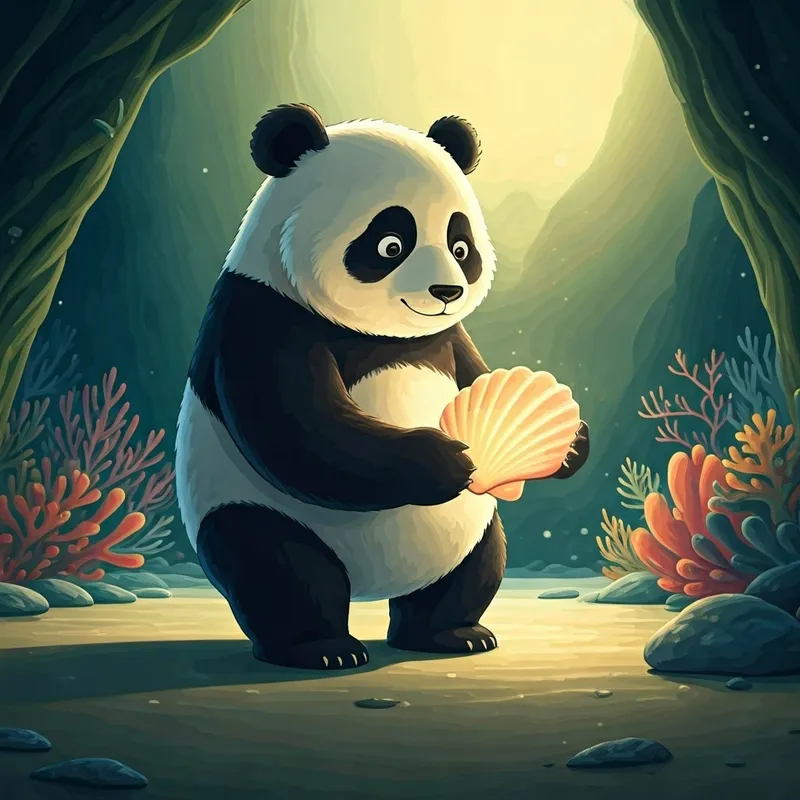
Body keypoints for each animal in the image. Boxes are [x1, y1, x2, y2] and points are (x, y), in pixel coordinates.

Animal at [176, 104, 589, 671]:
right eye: (390, 244)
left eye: (461, 246)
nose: (447, 290)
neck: (380, 333)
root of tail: (376, 585)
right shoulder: (261, 315)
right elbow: (302, 431)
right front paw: (446, 460)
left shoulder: (447, 336)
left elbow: (478, 375)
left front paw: (571, 445)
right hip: (251, 507)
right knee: (279, 568)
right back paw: (322, 648)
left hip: (469, 533)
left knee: (474, 568)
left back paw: (451, 634)